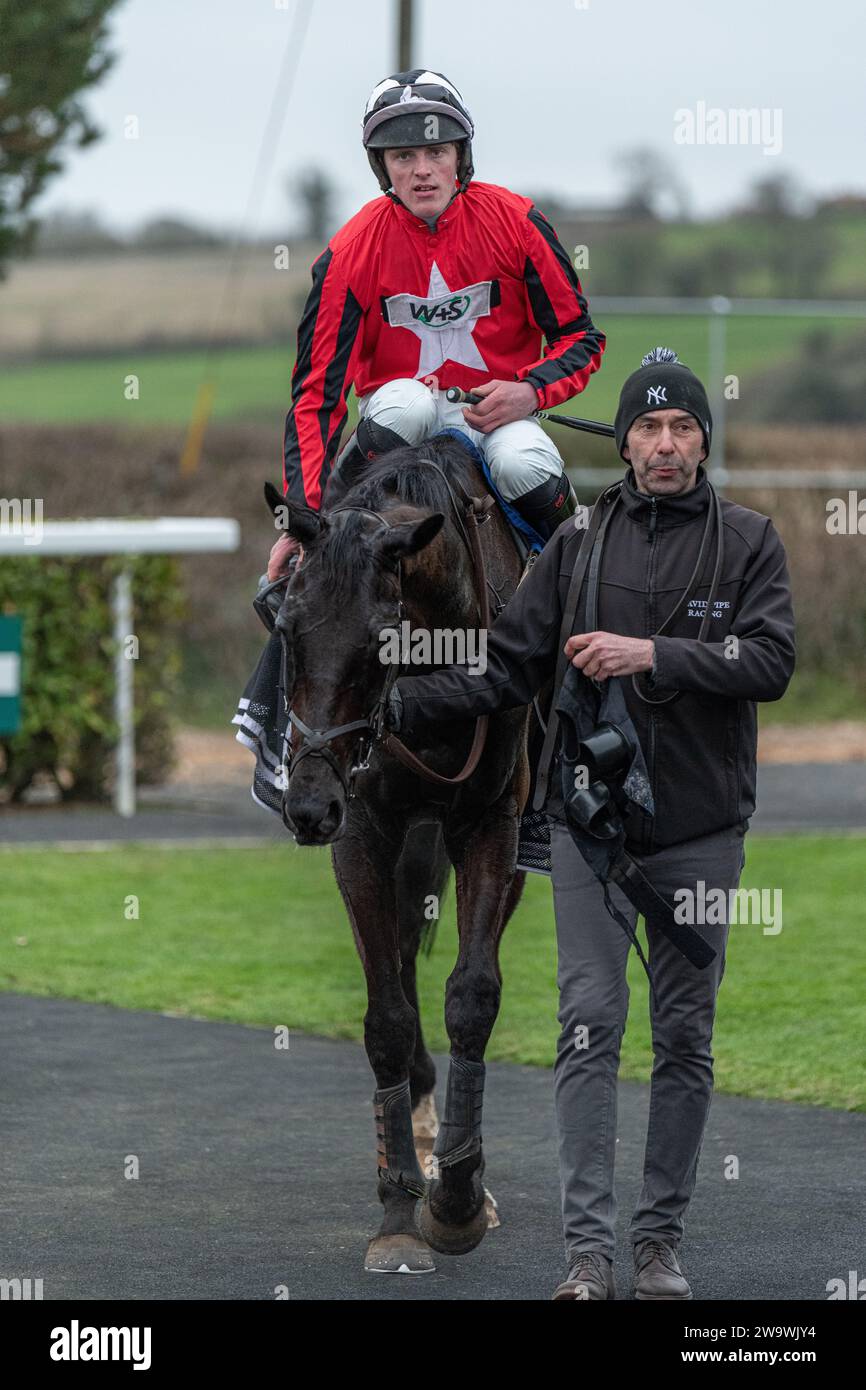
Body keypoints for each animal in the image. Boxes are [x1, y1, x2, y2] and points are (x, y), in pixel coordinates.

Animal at [264, 433, 530, 1273]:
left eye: (382, 637)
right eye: (287, 627)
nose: (308, 805)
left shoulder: (494, 824)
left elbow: (472, 996)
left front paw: (458, 1198)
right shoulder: (364, 832)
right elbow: (385, 1015)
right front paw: (398, 1211)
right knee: (405, 961)